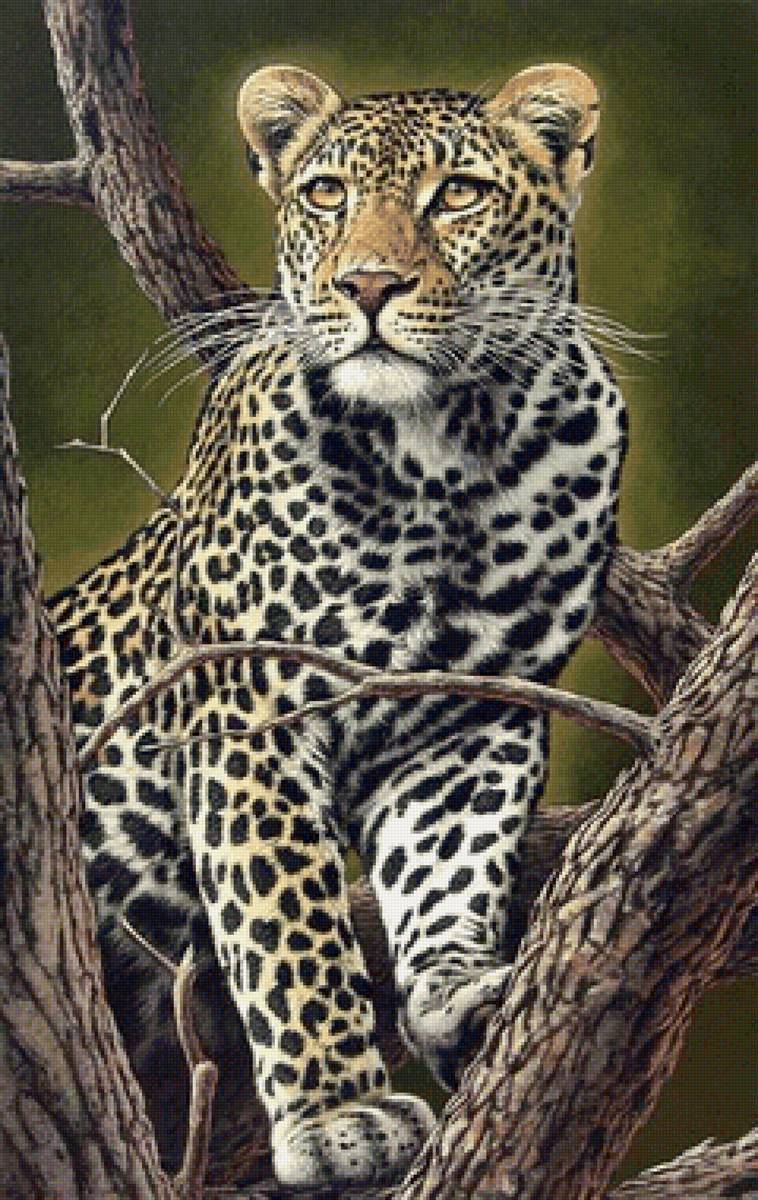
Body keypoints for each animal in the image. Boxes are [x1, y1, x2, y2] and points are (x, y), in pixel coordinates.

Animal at [49, 61, 627, 1190]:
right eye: (324, 194)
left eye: (457, 194)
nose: (367, 287)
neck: (445, 453)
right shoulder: (246, 718)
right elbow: (288, 927)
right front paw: (338, 1114)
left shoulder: (464, 723)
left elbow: (450, 863)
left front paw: (457, 991)